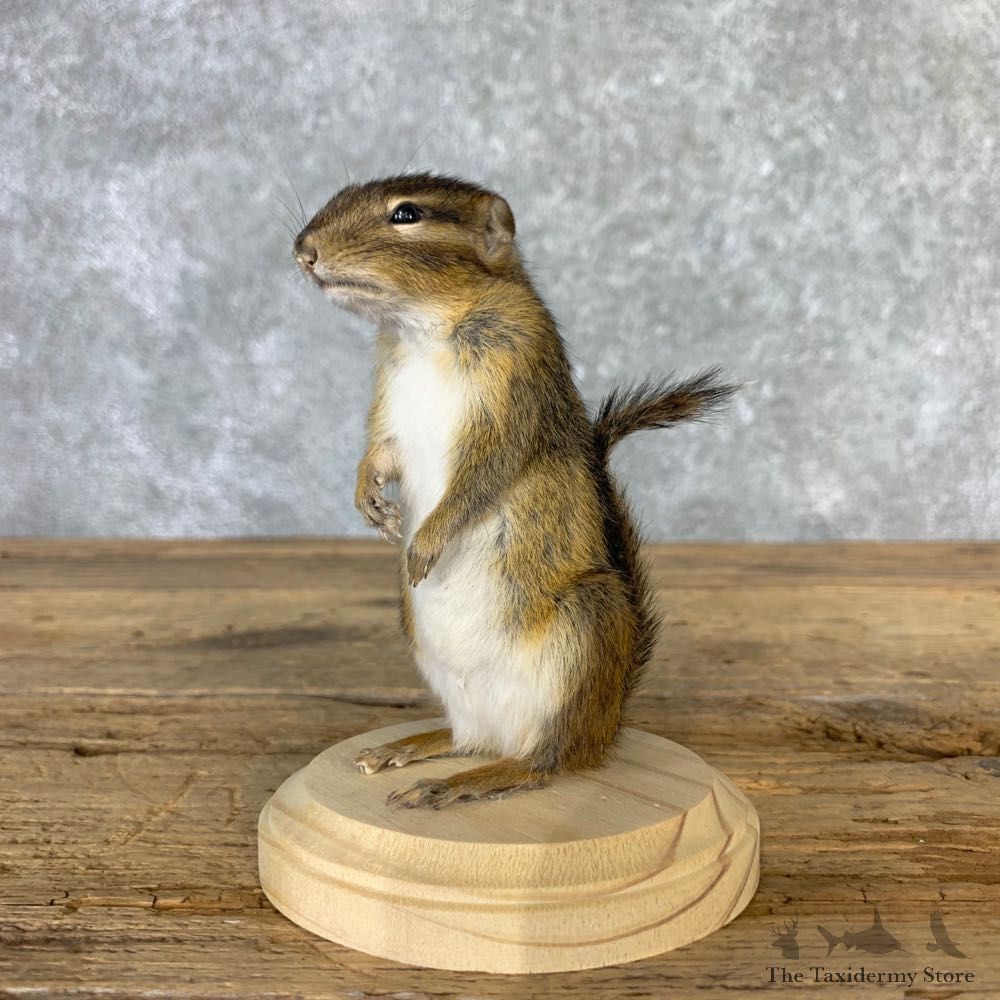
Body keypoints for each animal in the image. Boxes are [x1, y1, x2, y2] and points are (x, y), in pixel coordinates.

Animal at [294, 174, 736, 810]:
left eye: (407, 214)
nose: (304, 251)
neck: (426, 330)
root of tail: (606, 726)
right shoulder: (389, 406)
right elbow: (380, 453)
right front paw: (369, 500)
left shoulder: (512, 396)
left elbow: (478, 481)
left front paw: (424, 543)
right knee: (471, 740)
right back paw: (410, 749)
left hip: (584, 629)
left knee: (543, 764)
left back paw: (464, 782)